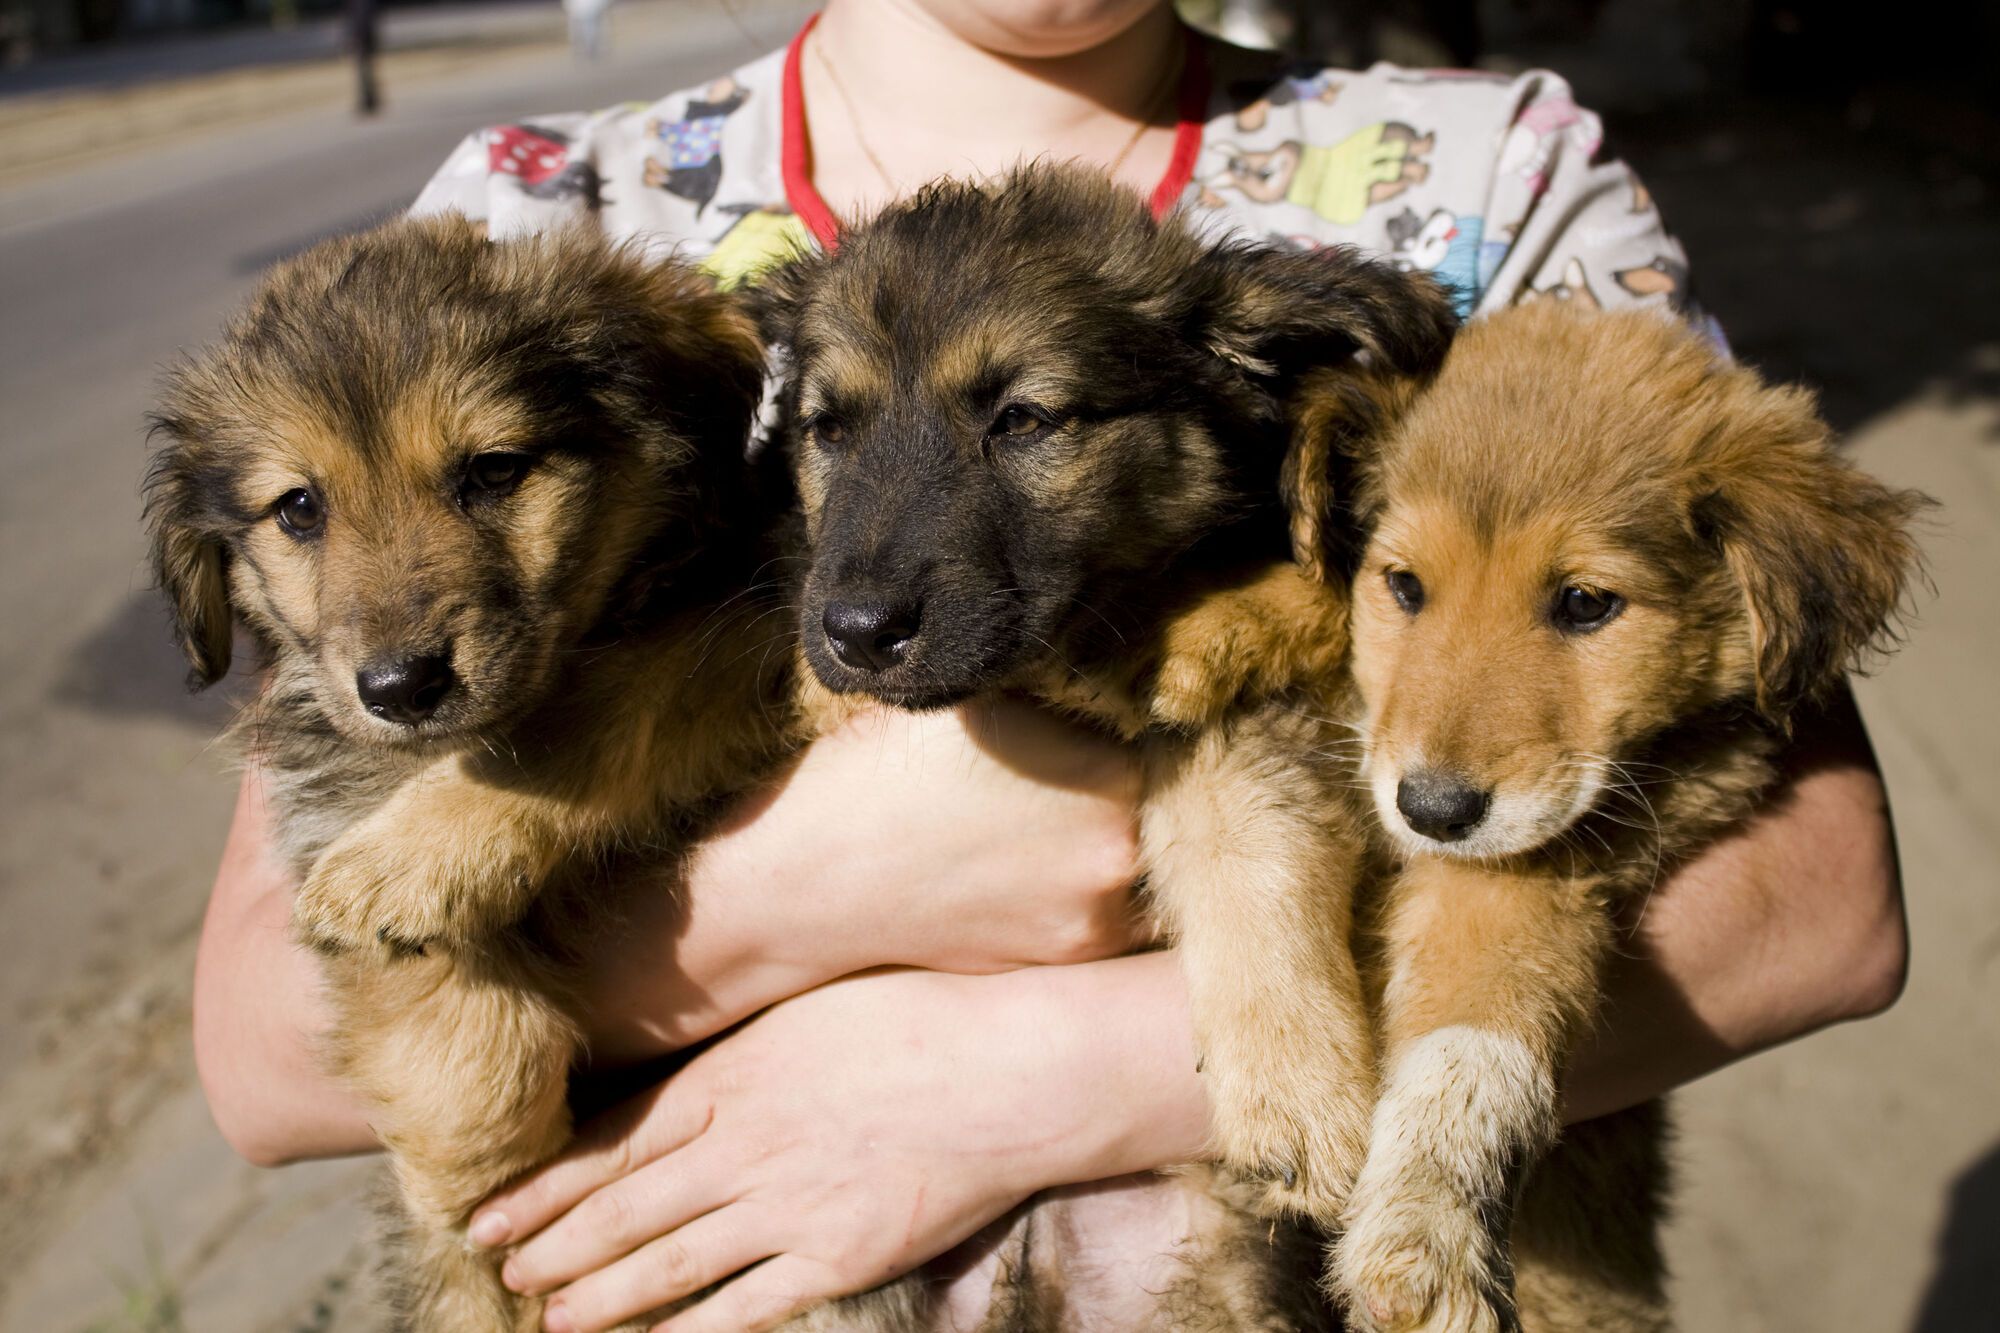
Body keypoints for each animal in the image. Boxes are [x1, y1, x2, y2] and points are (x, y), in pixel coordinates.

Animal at [145, 218, 912, 1328]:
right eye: (298, 509)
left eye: (493, 471)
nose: (400, 686)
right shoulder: (320, 806)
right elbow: (419, 995)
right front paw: (473, 1167)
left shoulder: (752, 637)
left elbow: (591, 715)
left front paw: (410, 861)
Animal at [756, 166, 1464, 1320]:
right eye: (829, 429)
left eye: (1023, 418)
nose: (855, 634)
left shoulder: (1268, 712)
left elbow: (1242, 837)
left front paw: (1295, 1093)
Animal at [1320, 300, 1928, 1328]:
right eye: (1403, 586)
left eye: (1584, 602)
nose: (1432, 810)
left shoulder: (1541, 872)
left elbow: (1477, 1033)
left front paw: (1426, 1234)